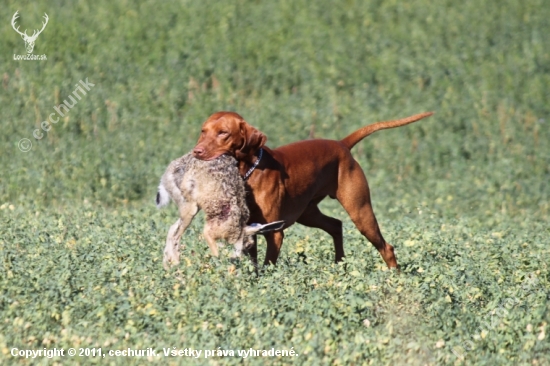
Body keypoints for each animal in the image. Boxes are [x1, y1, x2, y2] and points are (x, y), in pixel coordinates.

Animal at [194, 110, 436, 268]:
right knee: (336, 225)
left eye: (223, 133)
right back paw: (339, 265)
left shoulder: (274, 232)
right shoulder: (248, 230)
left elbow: (267, 266)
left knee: (386, 247)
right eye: (203, 131)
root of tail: (342, 145)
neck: (250, 173)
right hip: (307, 213)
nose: (197, 151)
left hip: (361, 212)